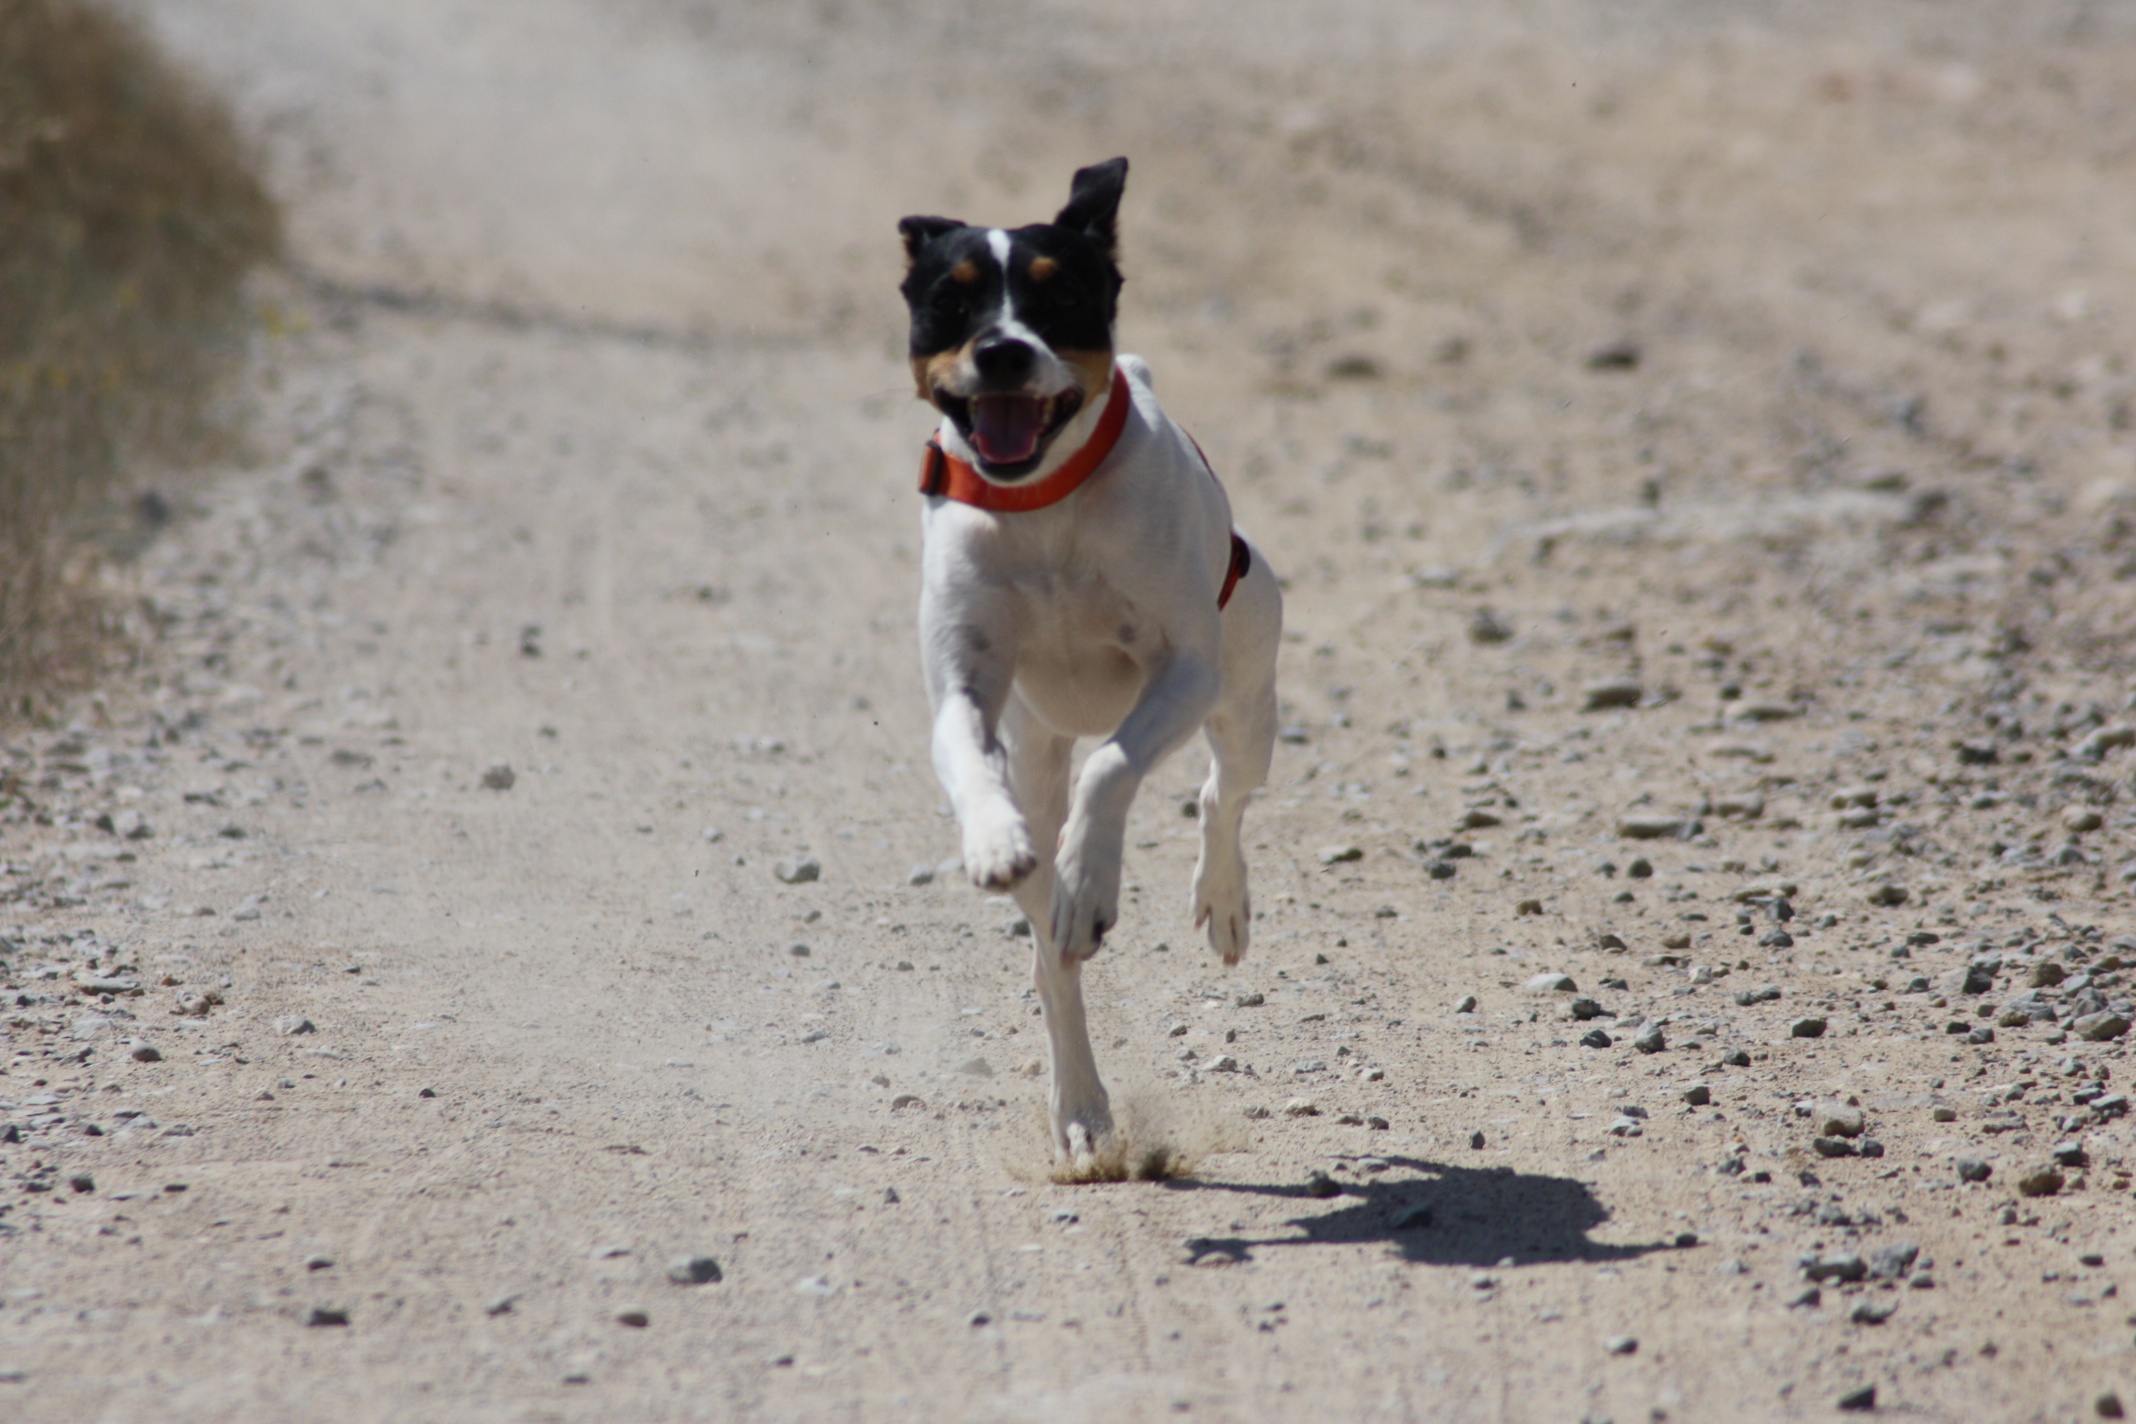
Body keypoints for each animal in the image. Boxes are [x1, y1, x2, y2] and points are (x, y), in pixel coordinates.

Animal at [892, 159, 1273, 1169]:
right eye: (949, 302)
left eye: (1059, 296)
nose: (1001, 352)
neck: (1045, 504)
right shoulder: (962, 691)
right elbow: (974, 768)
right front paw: (1001, 845)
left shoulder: (1182, 670)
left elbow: (1114, 767)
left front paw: (1092, 875)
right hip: (1039, 748)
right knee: (1052, 959)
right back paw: (1082, 1106)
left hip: (1243, 699)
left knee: (1221, 794)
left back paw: (1214, 900)